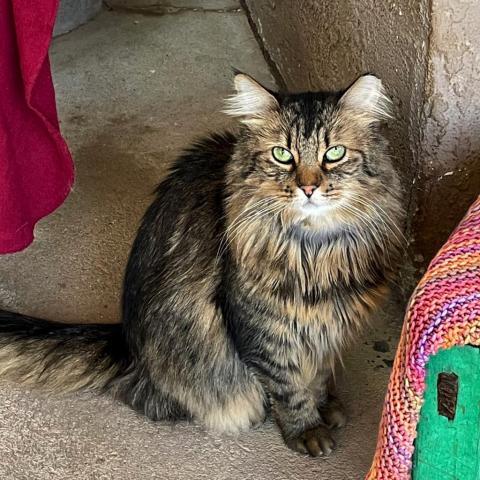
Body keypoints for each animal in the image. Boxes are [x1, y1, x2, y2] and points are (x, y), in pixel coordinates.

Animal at [0, 73, 404, 456]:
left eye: (334, 153)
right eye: (282, 155)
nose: (308, 188)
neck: (317, 248)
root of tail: (126, 344)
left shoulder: (327, 326)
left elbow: (317, 375)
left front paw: (326, 406)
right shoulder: (264, 329)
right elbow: (289, 386)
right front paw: (307, 431)